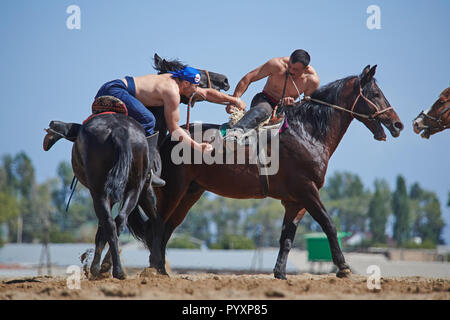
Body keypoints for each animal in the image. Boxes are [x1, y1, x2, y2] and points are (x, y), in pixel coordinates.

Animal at [127, 65, 404, 280]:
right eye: (375, 93)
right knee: (158, 224)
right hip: (174, 190)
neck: (306, 133)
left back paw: (161, 270)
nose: (397, 123)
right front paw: (343, 266)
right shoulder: (308, 191)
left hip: (190, 193)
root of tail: (170, 136)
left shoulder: (295, 202)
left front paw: (280, 273)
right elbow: (329, 224)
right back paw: (155, 269)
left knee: (167, 227)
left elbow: (287, 237)